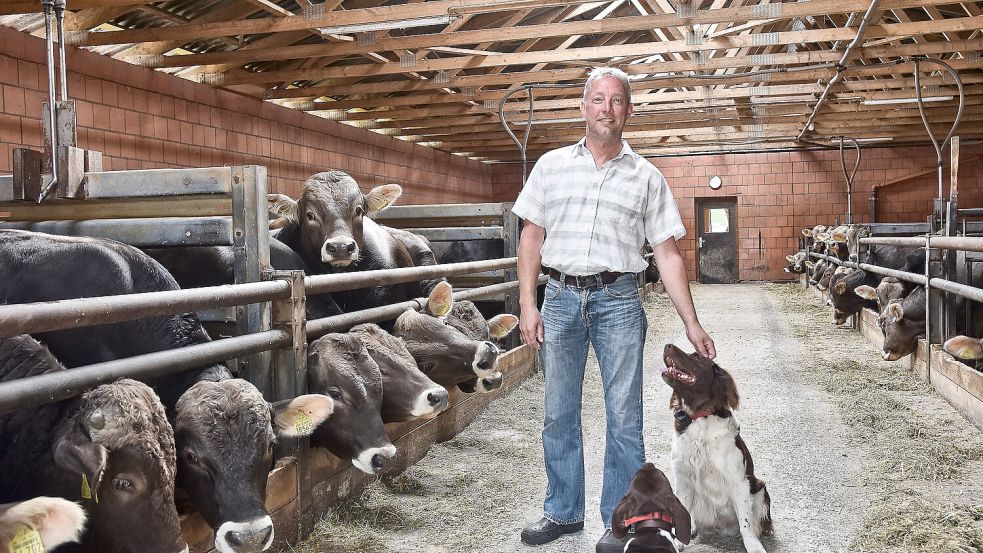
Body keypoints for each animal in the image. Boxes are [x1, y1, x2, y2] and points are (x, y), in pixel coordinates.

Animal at [660, 344, 776, 552]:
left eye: (696, 356)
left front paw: (753, 546)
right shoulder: (683, 478)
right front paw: (679, 540)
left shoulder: (739, 482)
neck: (700, 419)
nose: (667, 346)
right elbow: (683, 511)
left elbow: (746, 523)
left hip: (760, 488)